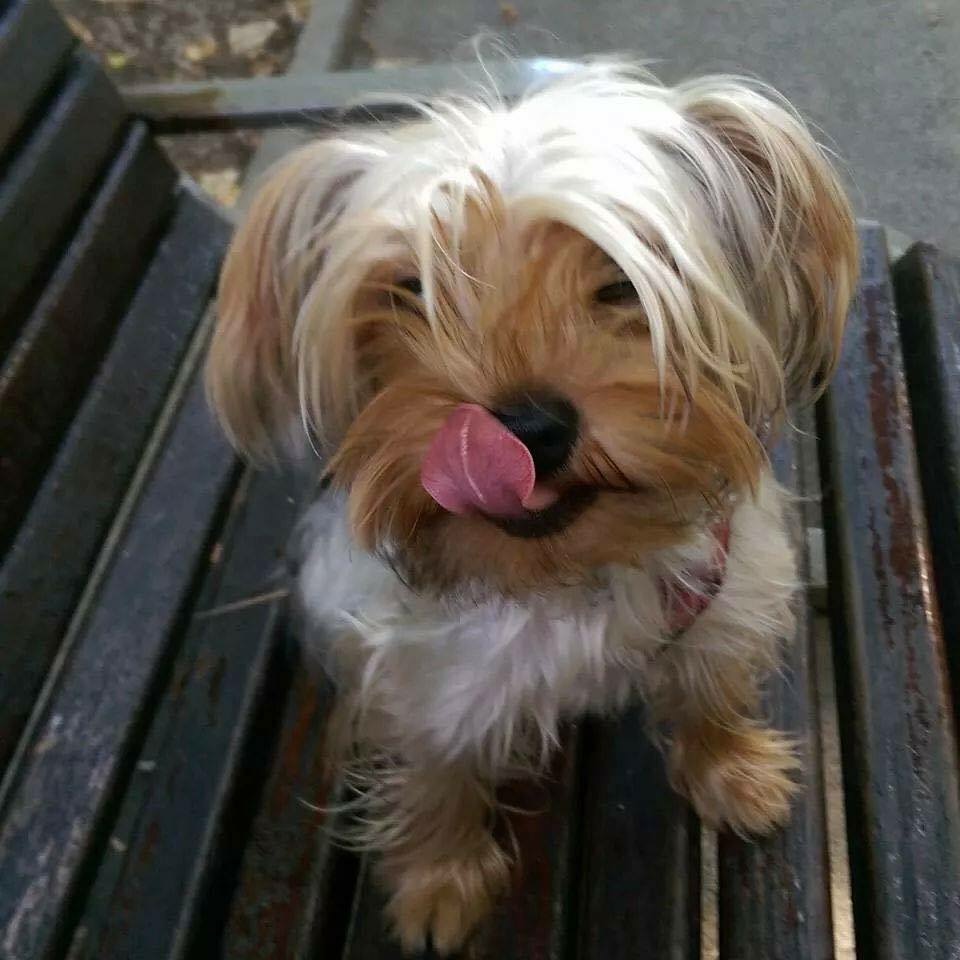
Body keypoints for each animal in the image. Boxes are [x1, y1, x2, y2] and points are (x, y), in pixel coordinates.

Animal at [206, 61, 857, 954]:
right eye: (411, 289)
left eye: (619, 283)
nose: (526, 428)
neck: (562, 571)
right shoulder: (422, 669)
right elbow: (437, 772)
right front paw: (440, 882)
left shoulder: (726, 595)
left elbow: (709, 687)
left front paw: (732, 770)